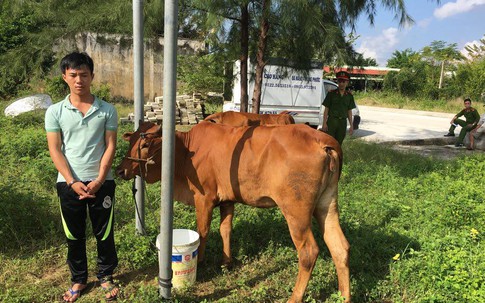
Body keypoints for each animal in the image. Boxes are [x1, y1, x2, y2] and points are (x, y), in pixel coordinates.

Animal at [115, 121, 350, 303]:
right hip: (326, 205)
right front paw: (226, 262)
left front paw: (201, 262)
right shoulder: (227, 200)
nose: (120, 170)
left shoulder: (204, 198)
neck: (185, 150)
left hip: (296, 212)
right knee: (340, 247)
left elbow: (203, 231)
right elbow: (225, 229)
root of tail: (322, 140)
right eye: (130, 140)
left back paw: (295, 297)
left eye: (145, 144)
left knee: (309, 251)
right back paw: (344, 296)